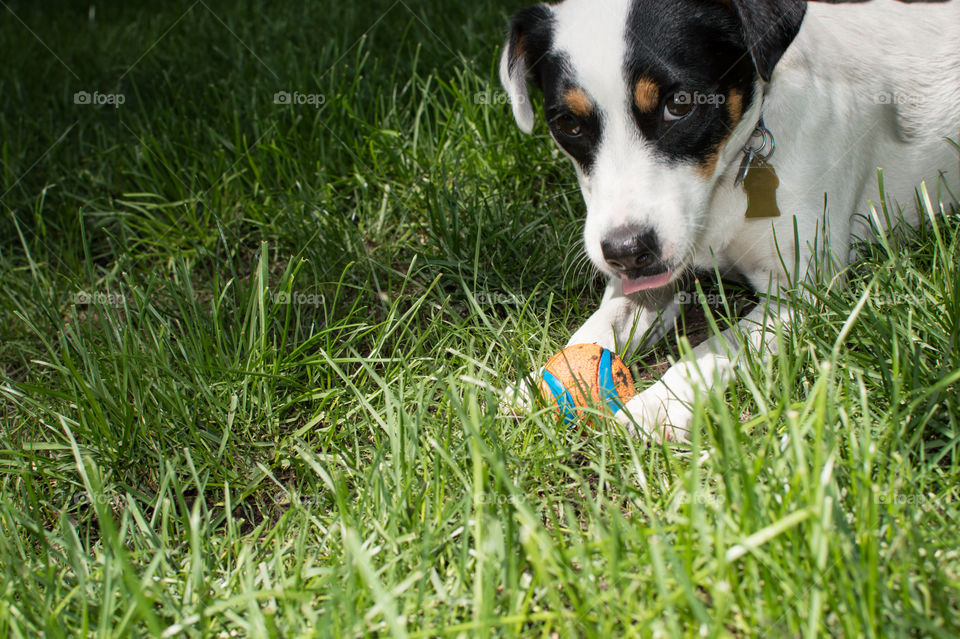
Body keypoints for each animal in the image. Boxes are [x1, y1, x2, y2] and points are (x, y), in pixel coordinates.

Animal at [498, 0, 960, 440]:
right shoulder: (652, 276)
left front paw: (658, 404)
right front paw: (536, 386)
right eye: (568, 123)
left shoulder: (802, 291)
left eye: (679, 104)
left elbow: (717, 346)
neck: (724, 186)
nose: (625, 252)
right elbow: (601, 324)